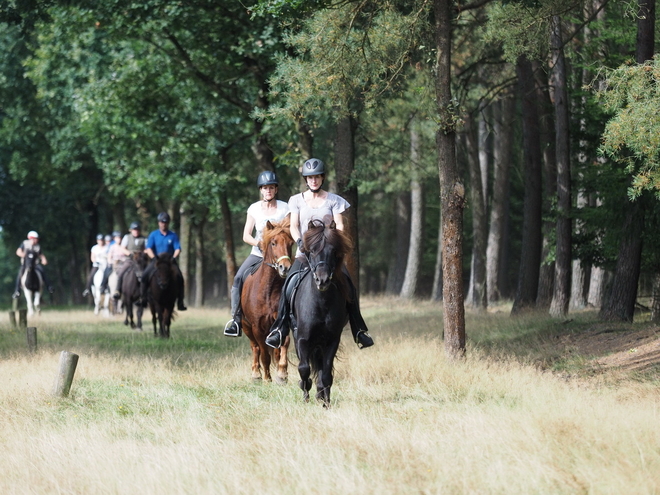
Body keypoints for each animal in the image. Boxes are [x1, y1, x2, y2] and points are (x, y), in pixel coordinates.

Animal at [241, 218, 292, 384]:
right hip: (246, 326)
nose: (285, 268)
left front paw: (282, 374)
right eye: (273, 243)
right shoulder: (257, 327)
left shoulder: (281, 323)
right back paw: (256, 374)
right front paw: (267, 378)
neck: (268, 291)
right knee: (255, 347)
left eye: (291, 243)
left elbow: (282, 347)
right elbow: (264, 353)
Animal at [292, 220, 354, 406]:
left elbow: (326, 373)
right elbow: (304, 368)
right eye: (312, 250)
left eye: (333, 251)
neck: (321, 303)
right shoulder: (302, 339)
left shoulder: (332, 340)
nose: (323, 280)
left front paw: (326, 402)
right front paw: (305, 395)